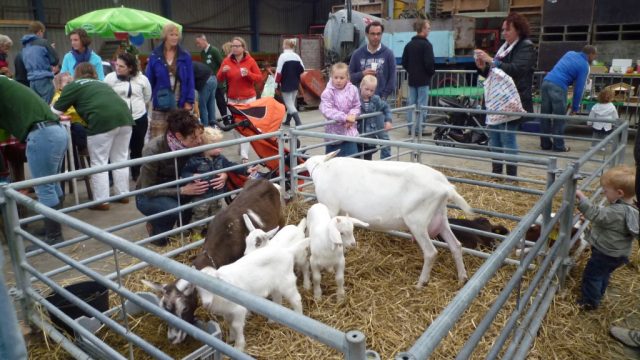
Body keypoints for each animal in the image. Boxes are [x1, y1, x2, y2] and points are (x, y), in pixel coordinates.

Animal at [298, 151, 472, 286]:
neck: (322, 168)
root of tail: (446, 187)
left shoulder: (331, 207)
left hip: (417, 221)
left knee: (431, 253)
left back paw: (421, 282)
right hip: (440, 217)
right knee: (456, 245)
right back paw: (462, 278)